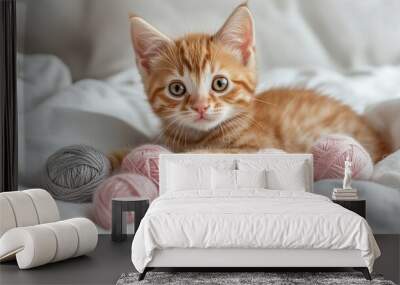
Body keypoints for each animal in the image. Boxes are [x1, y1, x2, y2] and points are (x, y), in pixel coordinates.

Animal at [126, 3, 388, 164]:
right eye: (177, 89)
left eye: (220, 84)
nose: (200, 107)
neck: (199, 137)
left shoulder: (260, 148)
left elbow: (208, 154)